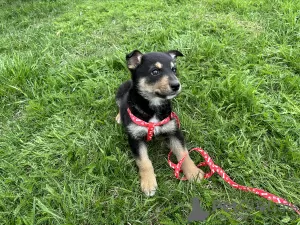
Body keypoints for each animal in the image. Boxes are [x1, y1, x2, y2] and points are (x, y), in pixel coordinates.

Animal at [115, 50, 204, 196]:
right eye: (155, 71)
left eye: (174, 69)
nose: (176, 85)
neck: (154, 107)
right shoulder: (135, 138)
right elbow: (144, 162)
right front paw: (148, 183)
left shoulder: (174, 131)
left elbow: (183, 154)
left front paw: (193, 172)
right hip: (120, 91)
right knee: (120, 103)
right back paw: (119, 117)